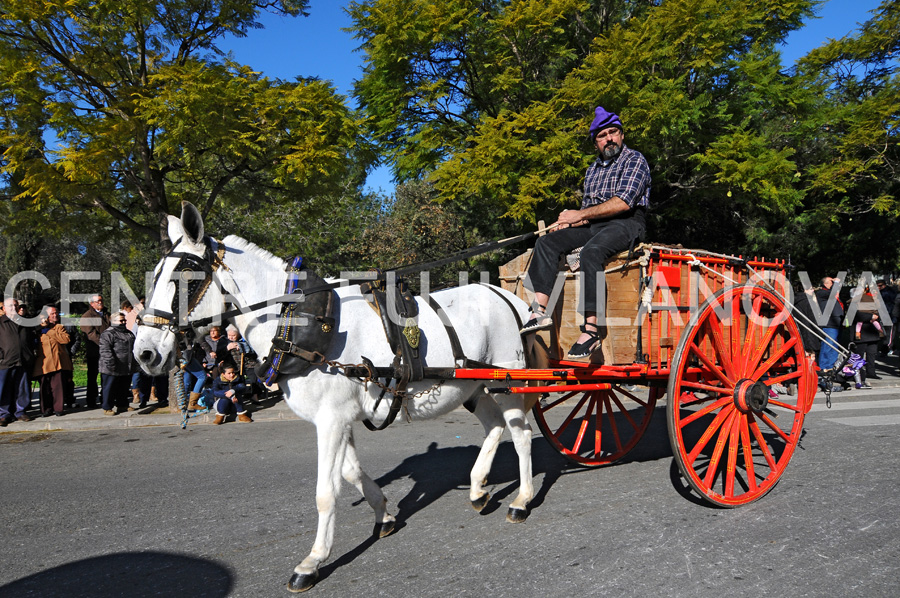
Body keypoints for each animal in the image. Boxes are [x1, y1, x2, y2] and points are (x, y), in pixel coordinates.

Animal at [135, 205, 536, 596]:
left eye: (183, 279)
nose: (145, 353)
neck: (296, 324)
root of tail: (510, 298)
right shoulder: (341, 418)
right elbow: (350, 472)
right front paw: (384, 515)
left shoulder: (331, 420)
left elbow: (325, 492)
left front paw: (312, 562)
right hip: (477, 387)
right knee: (495, 426)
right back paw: (479, 488)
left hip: (510, 380)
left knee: (520, 435)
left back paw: (521, 500)